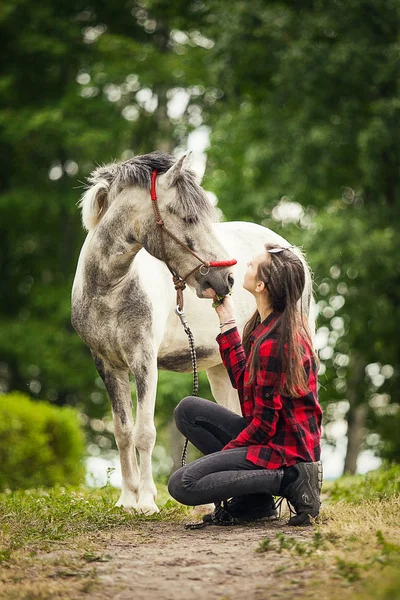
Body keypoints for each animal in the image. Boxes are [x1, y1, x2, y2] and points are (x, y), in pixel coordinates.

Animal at [72, 152, 316, 512]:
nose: (226, 280)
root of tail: (289, 249)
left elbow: (145, 432)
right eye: (188, 218)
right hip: (220, 370)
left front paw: (147, 501)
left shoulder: (144, 362)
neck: (111, 288)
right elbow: (123, 431)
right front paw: (127, 499)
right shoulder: (107, 364)